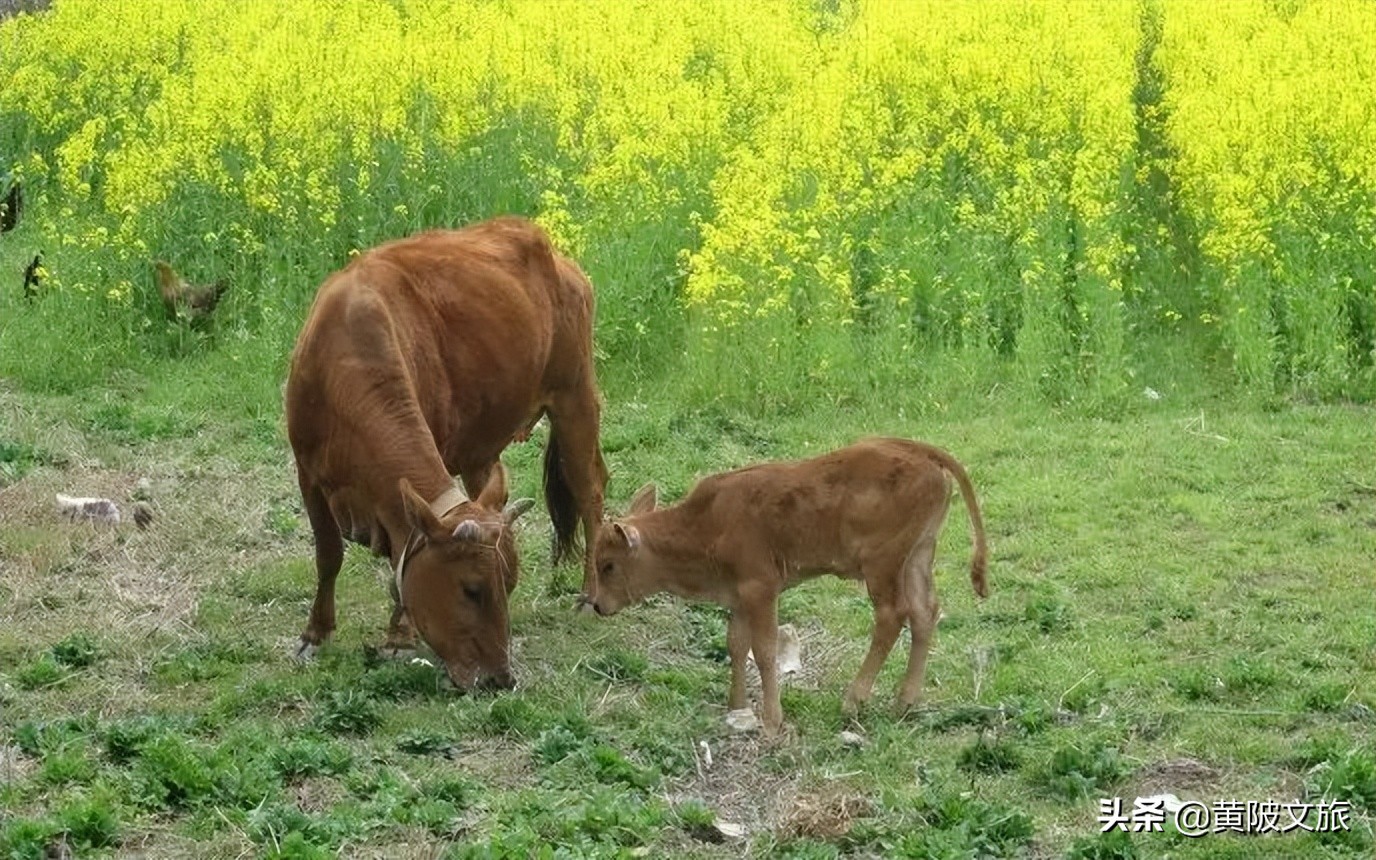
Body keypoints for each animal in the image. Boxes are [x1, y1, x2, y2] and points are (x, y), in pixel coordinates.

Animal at [284, 216, 608, 690]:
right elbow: (328, 555)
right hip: (488, 448)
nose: (500, 678)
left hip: (575, 395)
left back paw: (589, 595)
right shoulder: (307, 471)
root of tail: (556, 256)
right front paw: (316, 634)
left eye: (507, 585)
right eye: (472, 589)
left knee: (589, 493)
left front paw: (398, 638)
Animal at [586, 440, 985, 732]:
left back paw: (853, 700)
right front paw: (737, 706)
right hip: (918, 555)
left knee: (892, 616)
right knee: (925, 613)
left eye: (608, 565)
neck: (708, 523)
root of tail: (919, 450)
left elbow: (764, 651)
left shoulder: (761, 589)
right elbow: (736, 645)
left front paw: (772, 719)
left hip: (881, 565)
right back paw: (905, 702)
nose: (597, 605)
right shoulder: (738, 597)